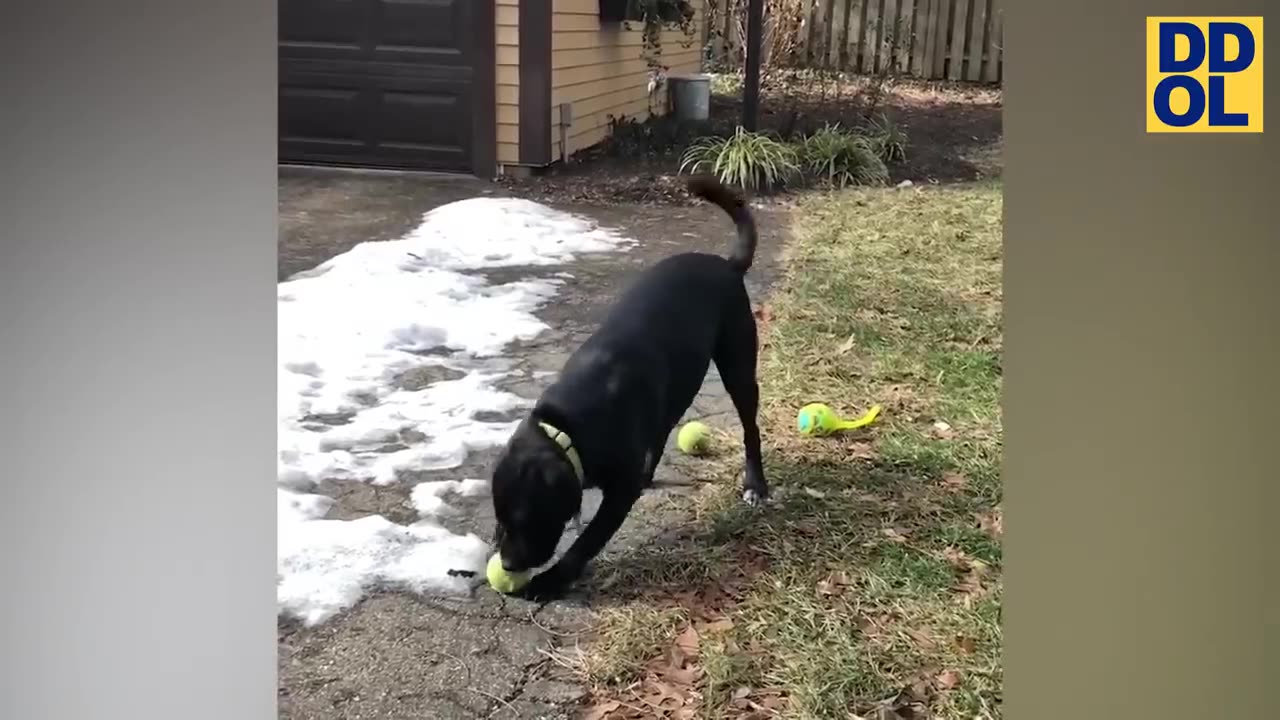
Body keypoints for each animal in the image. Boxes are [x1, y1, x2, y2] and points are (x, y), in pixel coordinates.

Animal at [486, 176, 768, 597]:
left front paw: (552, 581)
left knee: (750, 429)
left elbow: (588, 540)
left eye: (529, 517)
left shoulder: (617, 494)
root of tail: (726, 264)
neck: (568, 426)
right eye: (500, 515)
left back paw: (755, 484)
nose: (506, 564)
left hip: (738, 366)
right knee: (664, 425)